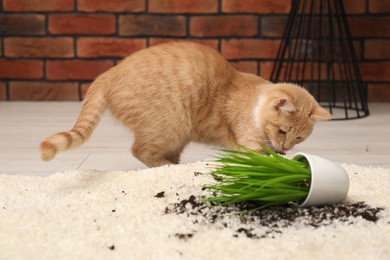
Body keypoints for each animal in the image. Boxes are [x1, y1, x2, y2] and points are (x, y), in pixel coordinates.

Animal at [40, 40, 332, 167]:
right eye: (282, 131)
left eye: (299, 138)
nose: (285, 146)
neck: (255, 106)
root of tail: (108, 73)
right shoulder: (247, 143)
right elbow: (261, 156)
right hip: (170, 125)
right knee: (140, 151)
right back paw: (168, 169)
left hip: (177, 136)